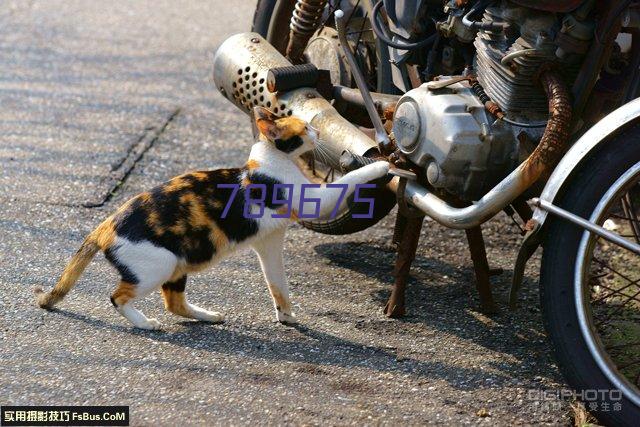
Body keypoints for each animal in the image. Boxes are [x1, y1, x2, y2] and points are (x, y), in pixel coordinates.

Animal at [37, 105, 392, 330]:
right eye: (304, 128)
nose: (318, 131)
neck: (270, 160)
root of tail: (105, 225)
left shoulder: (269, 243)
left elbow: (277, 284)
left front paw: (286, 315)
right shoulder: (317, 201)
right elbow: (348, 180)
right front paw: (381, 165)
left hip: (177, 264)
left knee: (174, 303)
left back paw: (207, 316)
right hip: (159, 264)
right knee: (117, 297)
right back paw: (146, 324)